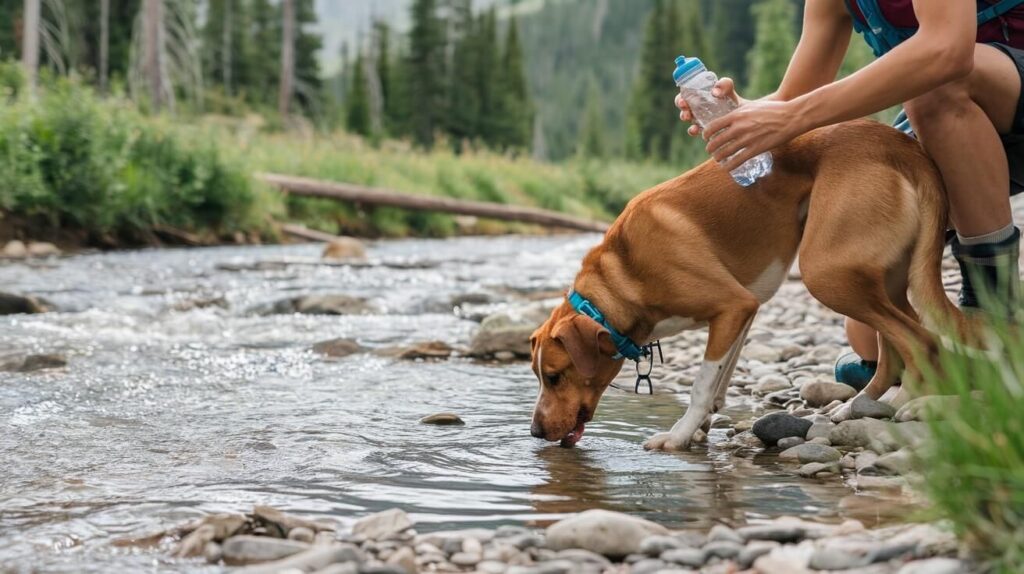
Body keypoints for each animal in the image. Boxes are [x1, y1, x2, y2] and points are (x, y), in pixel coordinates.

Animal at [528, 120, 958, 450]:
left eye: (555, 376)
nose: (533, 432)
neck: (625, 272)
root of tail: (898, 141)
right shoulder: (745, 309)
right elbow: (721, 379)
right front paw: (700, 426)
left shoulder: (732, 306)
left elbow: (702, 384)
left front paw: (678, 436)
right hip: (885, 284)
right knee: (893, 350)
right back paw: (860, 407)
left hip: (828, 274)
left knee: (922, 341)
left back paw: (905, 404)